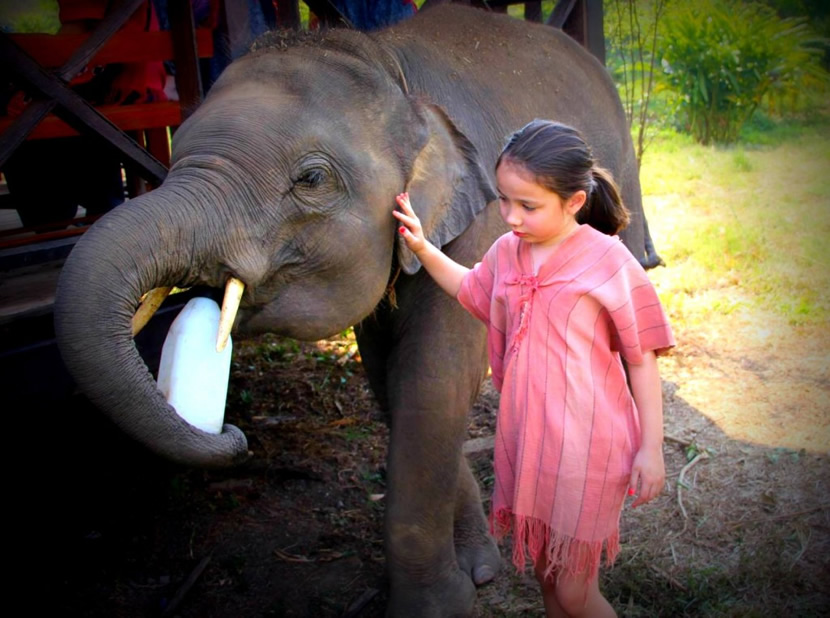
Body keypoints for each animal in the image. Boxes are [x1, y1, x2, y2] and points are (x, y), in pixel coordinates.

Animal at [54, 5, 657, 616]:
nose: (232, 434)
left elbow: (433, 380)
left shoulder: (480, 222)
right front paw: (477, 572)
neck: (393, 72)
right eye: (173, 156)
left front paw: (437, 607)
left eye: (311, 178)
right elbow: (391, 381)